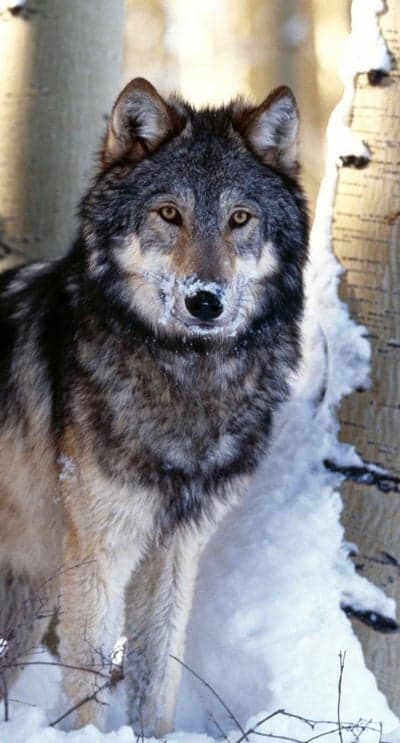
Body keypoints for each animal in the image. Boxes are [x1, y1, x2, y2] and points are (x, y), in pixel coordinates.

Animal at [0, 78, 308, 735]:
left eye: (239, 218)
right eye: (170, 213)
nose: (205, 301)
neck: (188, 377)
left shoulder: (175, 551)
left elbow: (156, 679)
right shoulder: (100, 553)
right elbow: (88, 686)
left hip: (33, 595)